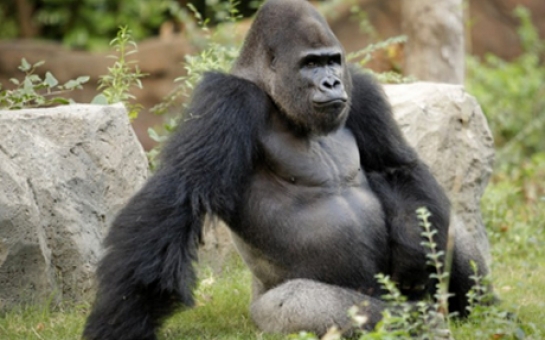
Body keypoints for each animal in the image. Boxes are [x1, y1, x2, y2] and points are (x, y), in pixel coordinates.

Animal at [83, 0, 490, 338]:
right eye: (310, 64)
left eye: (332, 60)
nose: (332, 82)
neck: (271, 94)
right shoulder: (227, 99)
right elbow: (180, 195)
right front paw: (121, 321)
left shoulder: (362, 88)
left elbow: (397, 169)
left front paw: (418, 256)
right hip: (264, 311)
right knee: (298, 303)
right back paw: (415, 320)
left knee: (445, 226)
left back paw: (478, 308)